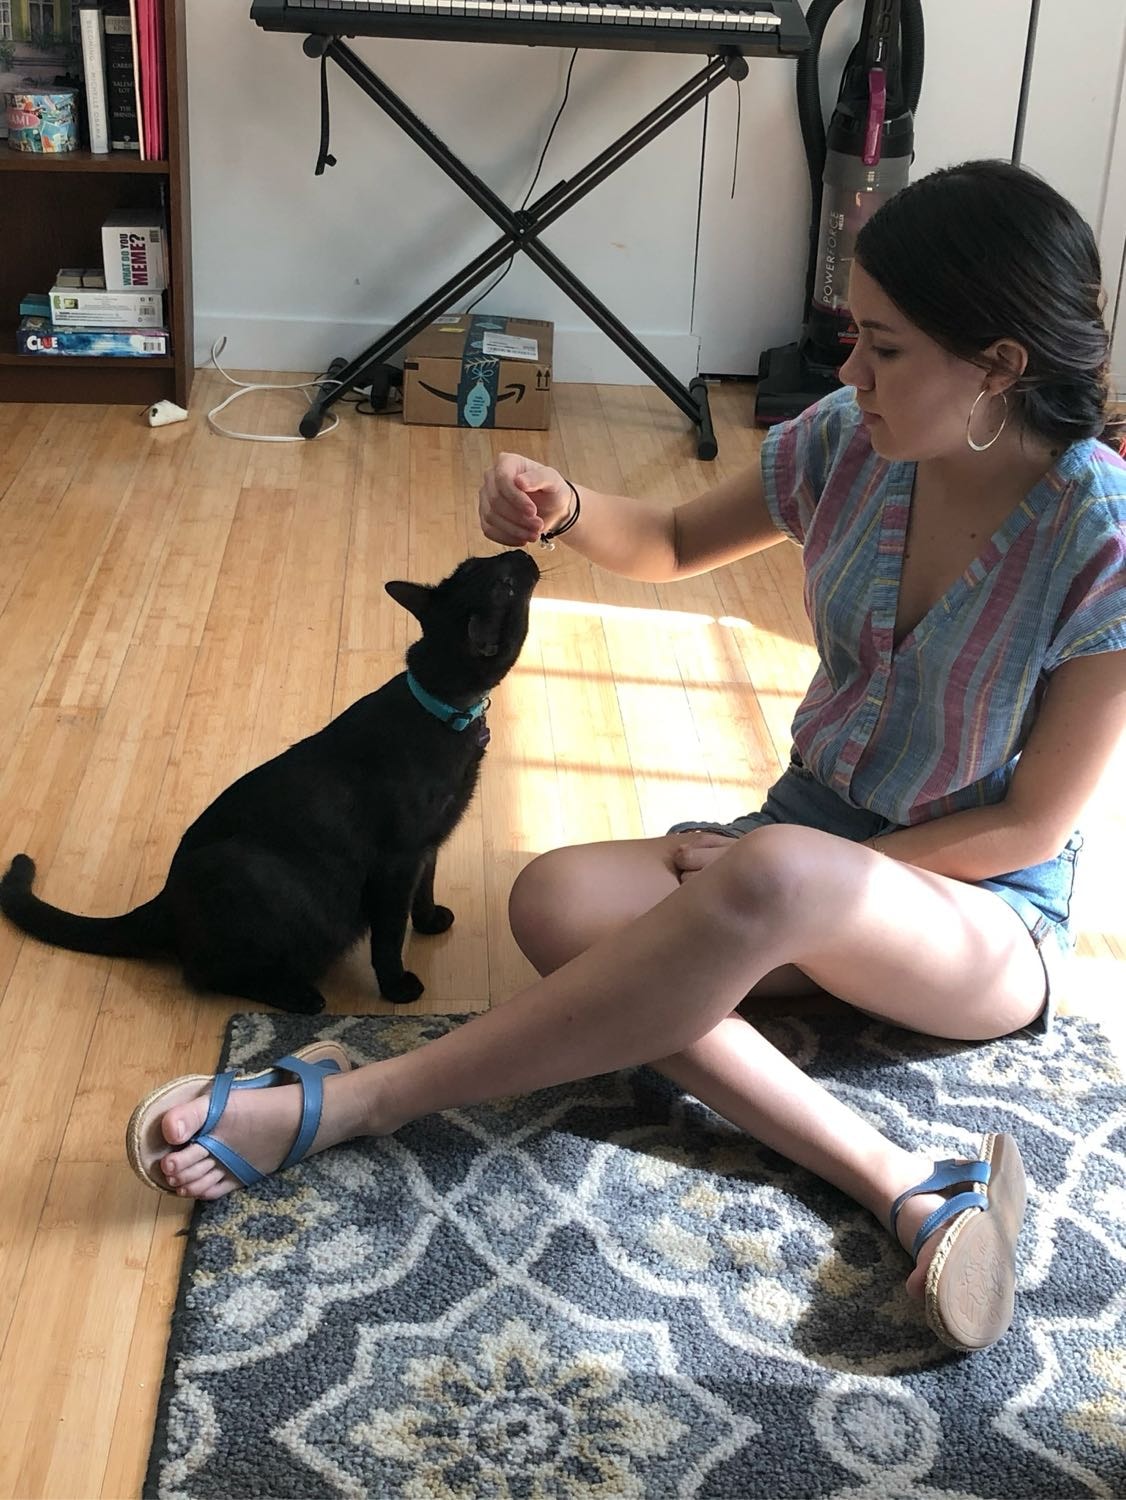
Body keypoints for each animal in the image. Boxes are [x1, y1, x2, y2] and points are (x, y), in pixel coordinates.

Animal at [0, 549, 540, 1013]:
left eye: (481, 561)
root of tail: (165, 899)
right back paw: (300, 996)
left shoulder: (428, 846)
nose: (523, 553)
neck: (441, 708)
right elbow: (388, 934)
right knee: (205, 975)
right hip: (264, 884)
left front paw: (429, 922)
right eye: (506, 583)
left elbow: (423, 891)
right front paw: (397, 987)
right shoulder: (397, 861)